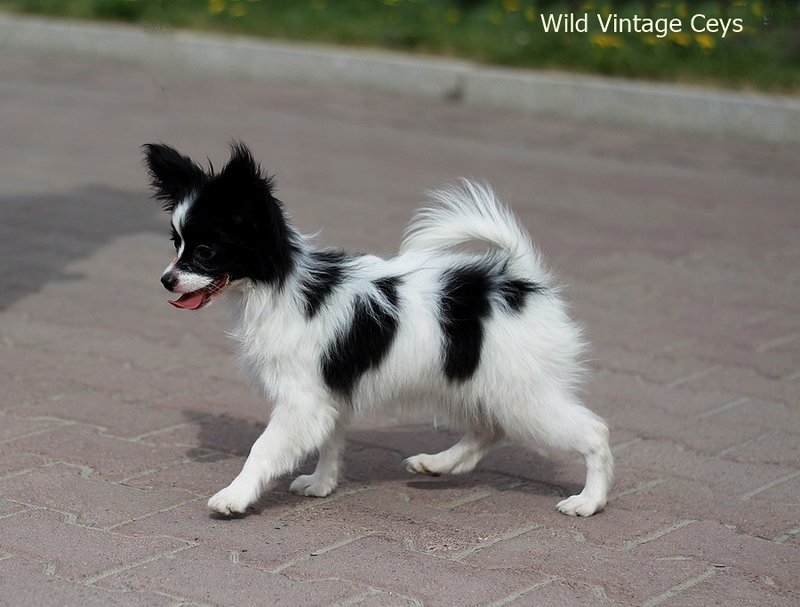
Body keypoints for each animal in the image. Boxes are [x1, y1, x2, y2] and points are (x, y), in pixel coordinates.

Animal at [144, 142, 616, 516]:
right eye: (176, 244)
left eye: (205, 252)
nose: (166, 280)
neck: (277, 286)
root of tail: (520, 280)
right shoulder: (329, 393)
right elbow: (331, 442)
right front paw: (321, 485)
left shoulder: (302, 399)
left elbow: (263, 449)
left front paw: (234, 496)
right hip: (472, 382)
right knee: (489, 428)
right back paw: (436, 465)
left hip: (521, 393)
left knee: (593, 432)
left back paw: (589, 502)